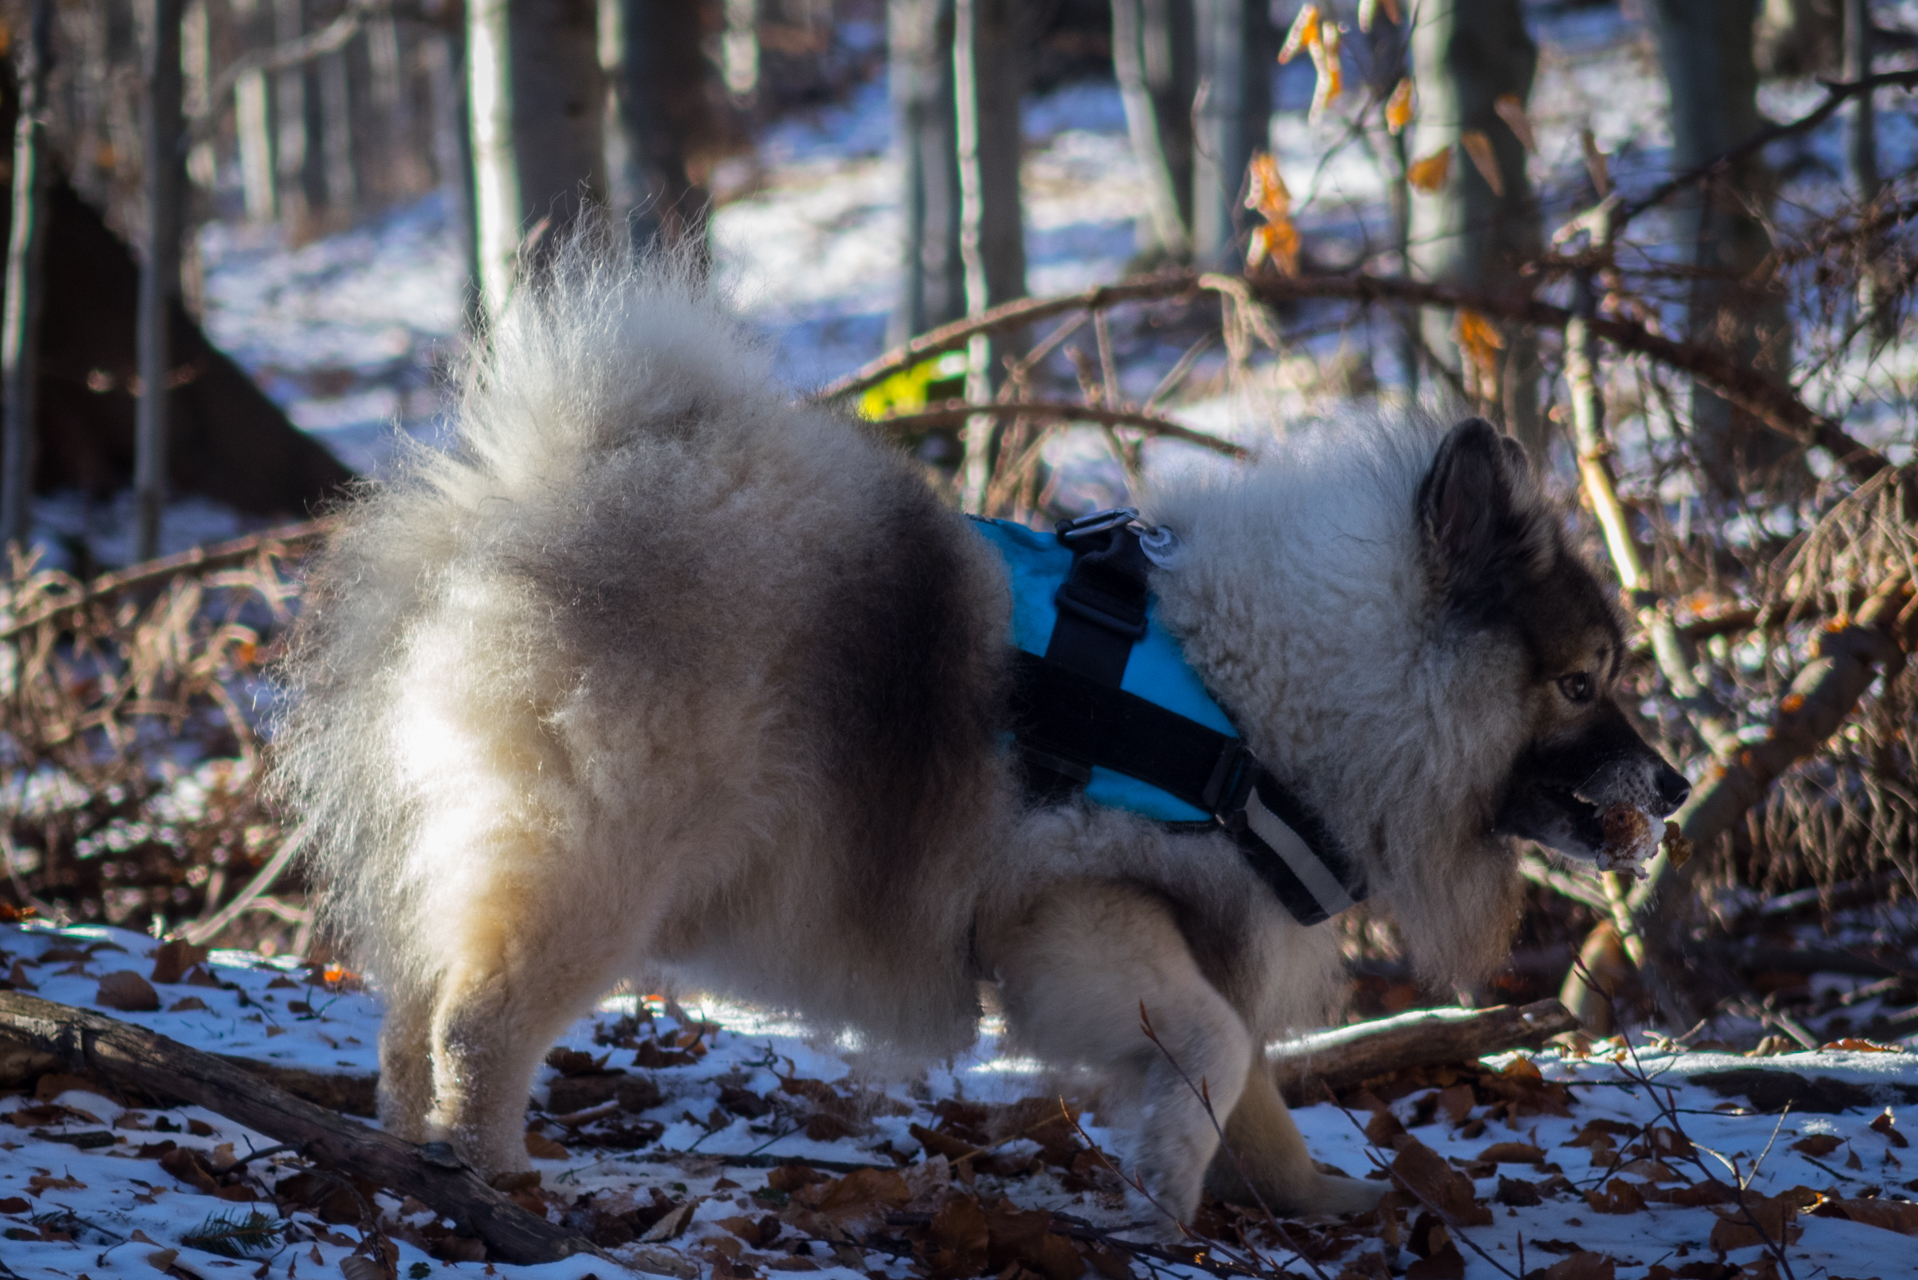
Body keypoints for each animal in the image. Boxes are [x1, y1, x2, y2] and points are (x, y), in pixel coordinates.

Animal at [270, 247, 1680, 1220]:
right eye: (1581, 680)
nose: (1671, 782)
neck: (1269, 693)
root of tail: (522, 499)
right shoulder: (1069, 908)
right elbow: (1218, 1050)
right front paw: (1166, 1192)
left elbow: (1253, 1086)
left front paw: (1303, 1196)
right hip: (601, 859)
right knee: (480, 1020)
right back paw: (503, 1178)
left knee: (412, 1010)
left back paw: (406, 1153)